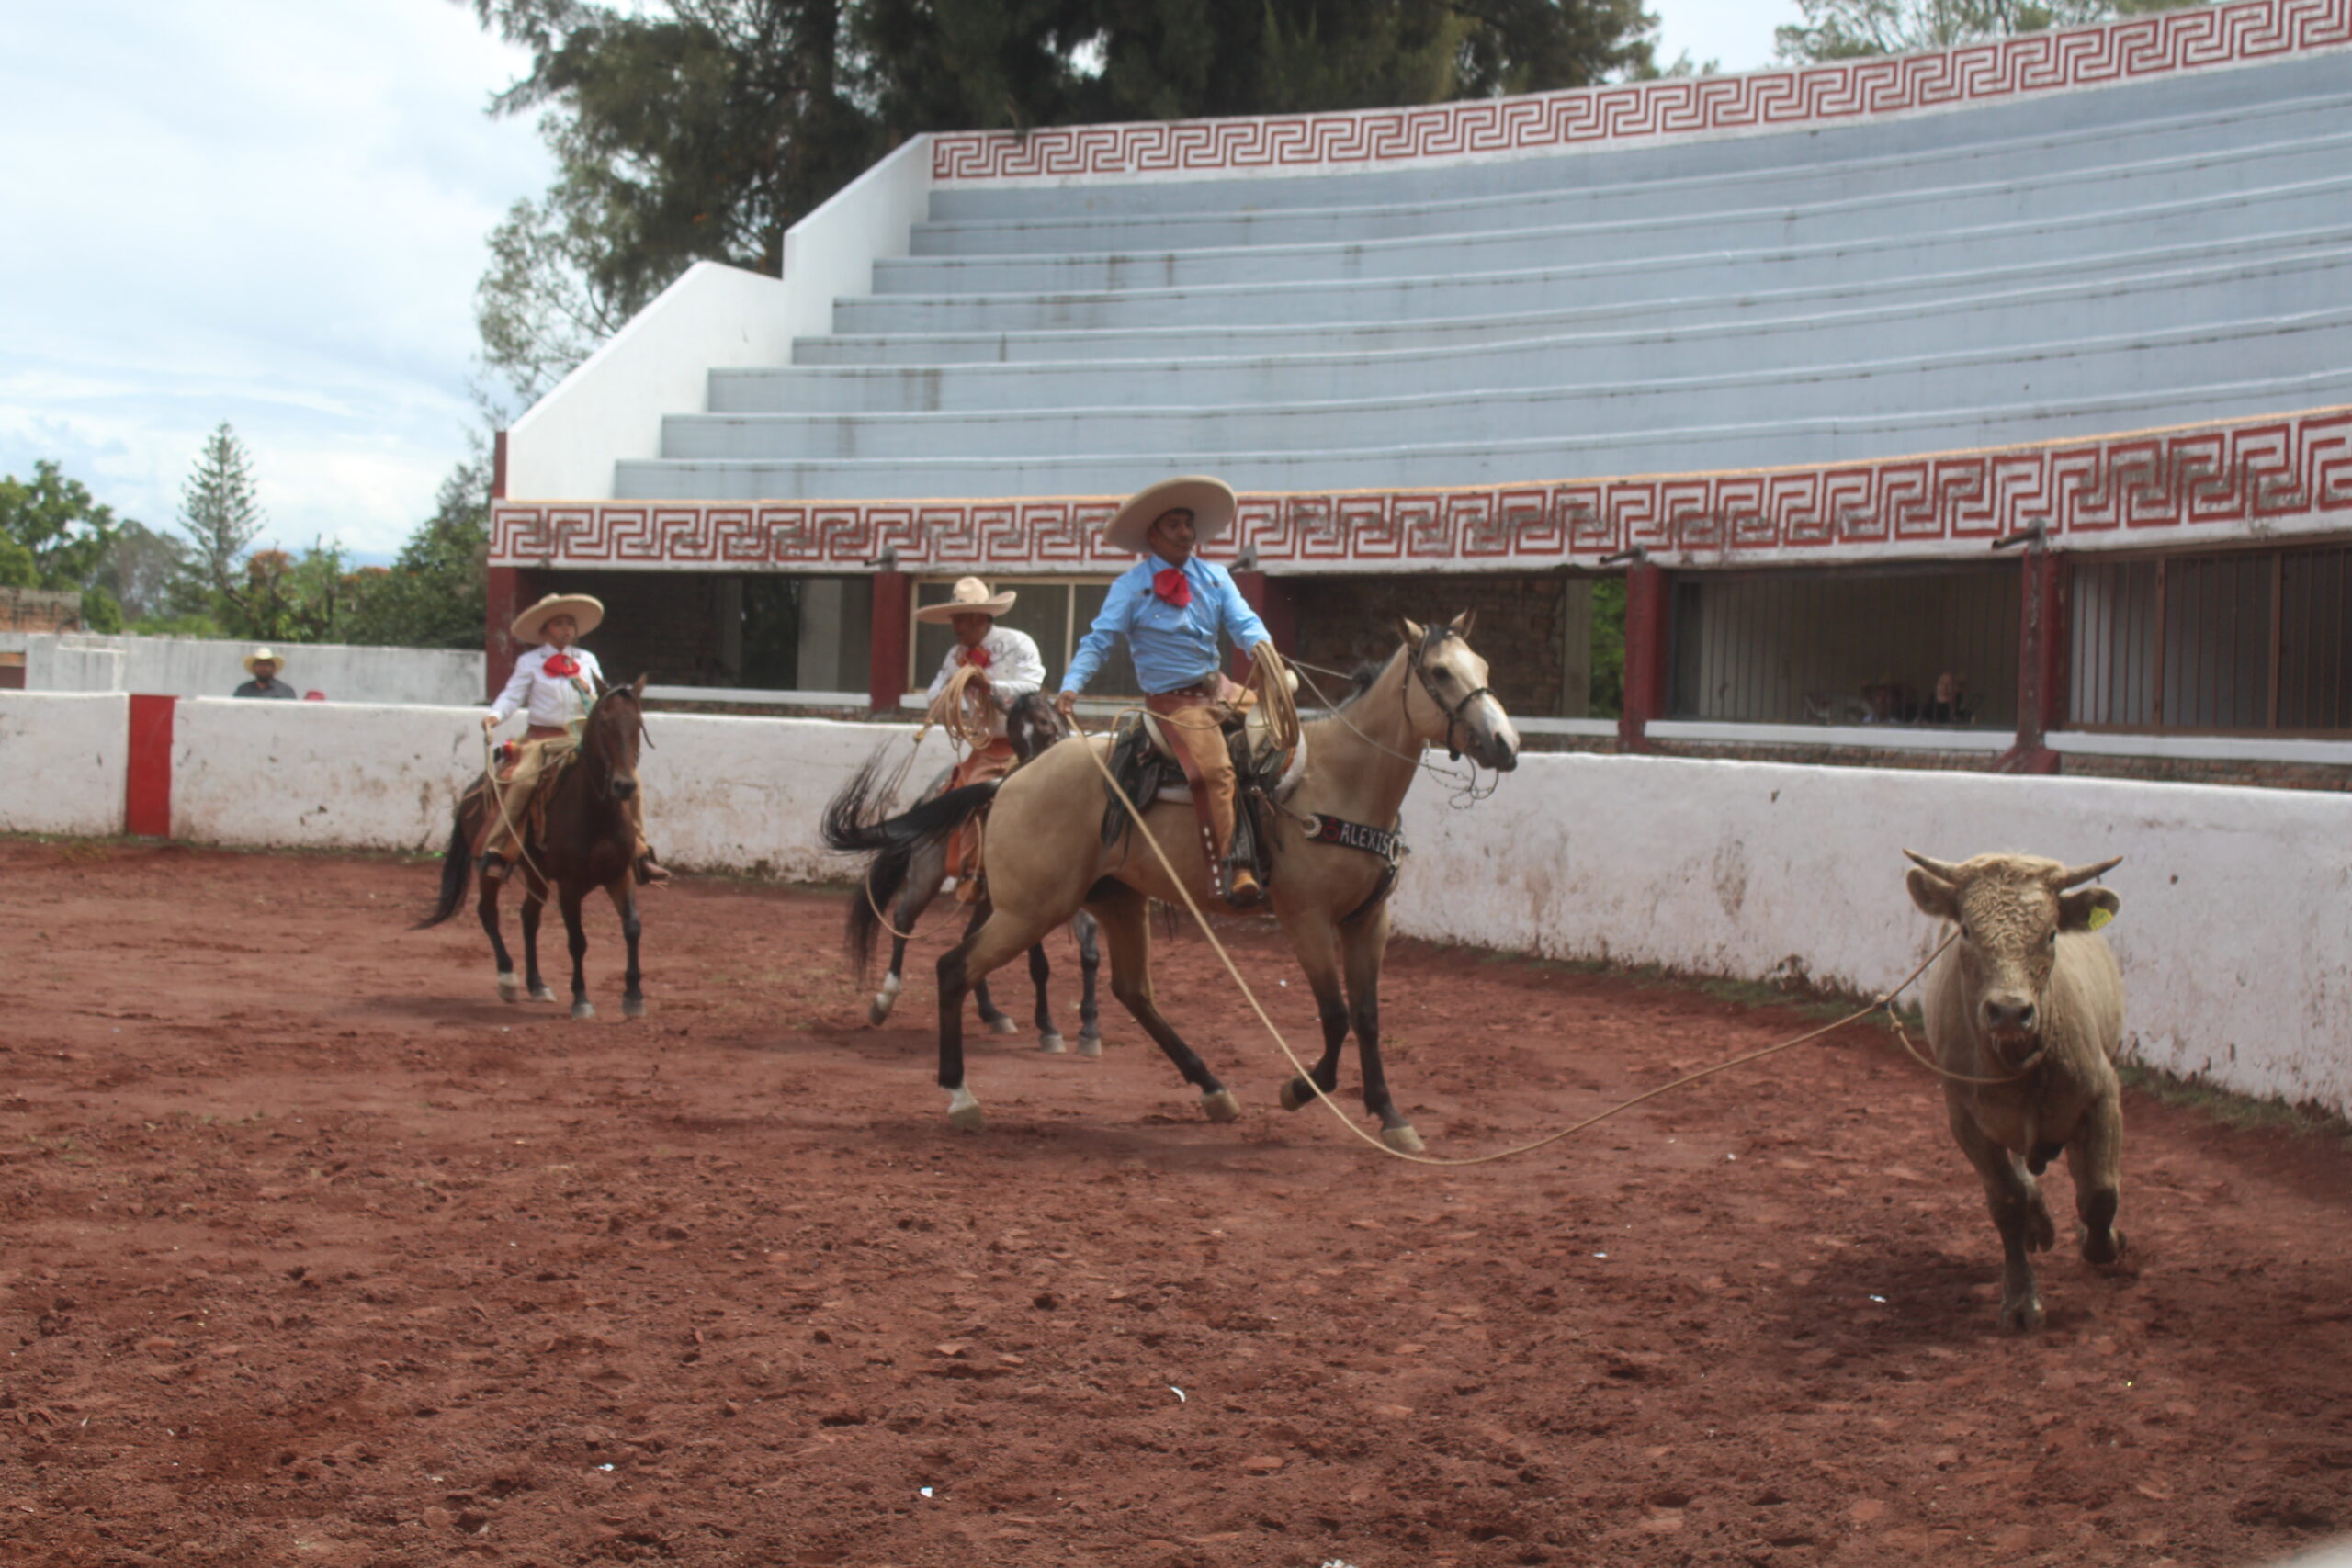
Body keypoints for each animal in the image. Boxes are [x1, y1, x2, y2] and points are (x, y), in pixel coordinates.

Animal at [423, 677, 653, 1024]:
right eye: (603, 723)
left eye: (637, 723)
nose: (624, 785)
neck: (597, 813)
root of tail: (472, 791)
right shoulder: (570, 886)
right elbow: (577, 941)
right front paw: (581, 999)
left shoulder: (620, 874)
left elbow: (633, 928)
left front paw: (634, 997)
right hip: (492, 868)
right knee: (488, 912)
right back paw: (508, 979)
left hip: (535, 872)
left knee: (528, 917)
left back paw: (537, 984)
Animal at [860, 691, 1105, 1062]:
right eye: (1016, 739)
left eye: (1048, 731)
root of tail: (935, 789)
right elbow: (1039, 966)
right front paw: (1048, 1029)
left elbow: (1090, 956)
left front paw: (1090, 1030)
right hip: (927, 873)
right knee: (903, 921)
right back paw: (883, 1001)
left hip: (988, 898)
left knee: (969, 940)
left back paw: (992, 1014)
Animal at [1900, 851, 2126, 1335]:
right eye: (1967, 930)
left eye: (2051, 933)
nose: (2008, 1012)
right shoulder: (1966, 1123)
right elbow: (2007, 1202)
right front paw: (2022, 1300)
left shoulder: (2103, 1097)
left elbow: (2099, 1191)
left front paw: (2104, 1244)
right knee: (2023, 1177)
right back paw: (2039, 1223)